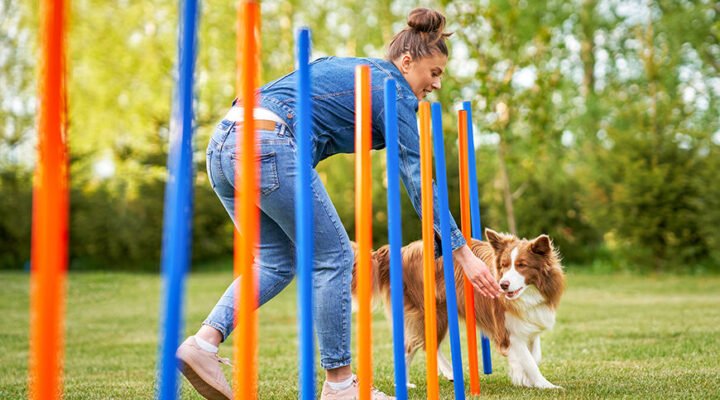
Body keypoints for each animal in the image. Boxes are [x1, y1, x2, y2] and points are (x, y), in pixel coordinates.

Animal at [352, 230, 564, 390]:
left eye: (522, 265)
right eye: (504, 266)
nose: (503, 285)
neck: (529, 293)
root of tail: (402, 252)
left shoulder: (529, 321)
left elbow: (534, 354)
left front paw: (522, 377)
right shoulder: (507, 331)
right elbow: (529, 360)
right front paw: (545, 385)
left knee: (424, 344)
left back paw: (440, 374)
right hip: (432, 312)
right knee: (415, 345)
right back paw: (412, 382)